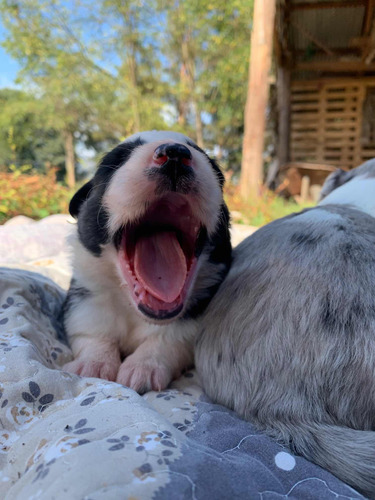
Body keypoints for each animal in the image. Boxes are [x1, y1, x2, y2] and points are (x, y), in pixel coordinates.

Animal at [63, 132, 231, 394]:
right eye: (118, 159)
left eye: (211, 164)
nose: (174, 153)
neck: (134, 312)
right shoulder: (86, 296)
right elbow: (92, 329)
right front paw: (92, 364)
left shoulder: (193, 315)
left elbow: (168, 338)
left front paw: (143, 369)